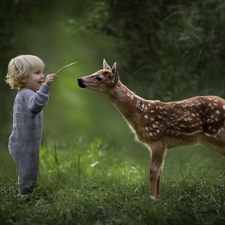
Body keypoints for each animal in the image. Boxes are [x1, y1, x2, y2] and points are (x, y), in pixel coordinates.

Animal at [77, 59, 225, 199]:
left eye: (99, 78)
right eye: (96, 72)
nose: (79, 79)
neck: (139, 113)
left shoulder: (157, 139)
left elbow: (153, 171)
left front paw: (152, 199)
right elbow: (159, 171)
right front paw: (157, 198)